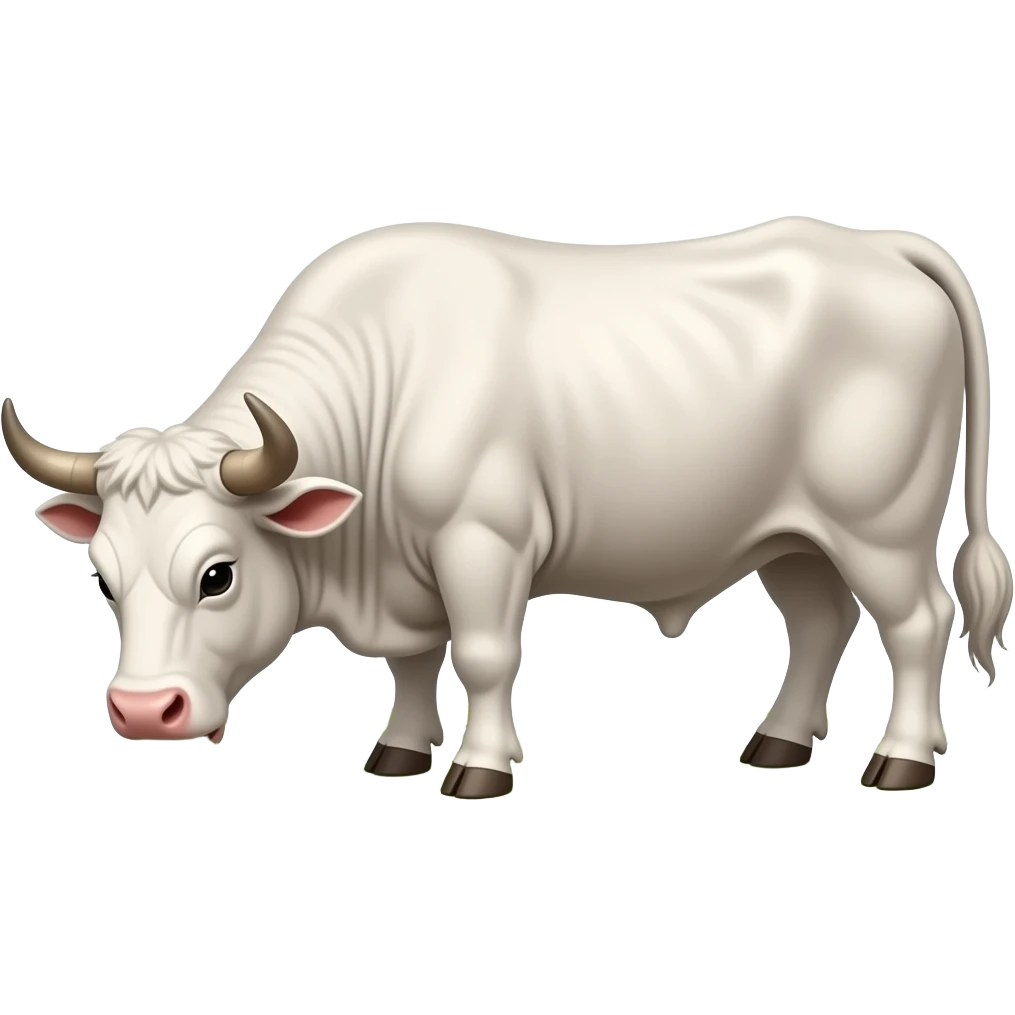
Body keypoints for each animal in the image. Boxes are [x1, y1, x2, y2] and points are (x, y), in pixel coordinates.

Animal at [2, 218, 1011, 797]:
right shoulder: (406, 569)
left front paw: (479, 768)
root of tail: (877, 243)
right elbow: (412, 661)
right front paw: (399, 753)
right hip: (790, 535)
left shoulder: (479, 543)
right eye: (104, 580)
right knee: (820, 620)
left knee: (916, 624)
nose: (143, 711)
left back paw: (901, 759)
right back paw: (775, 743)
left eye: (218, 574)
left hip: (880, 525)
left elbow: (482, 655)